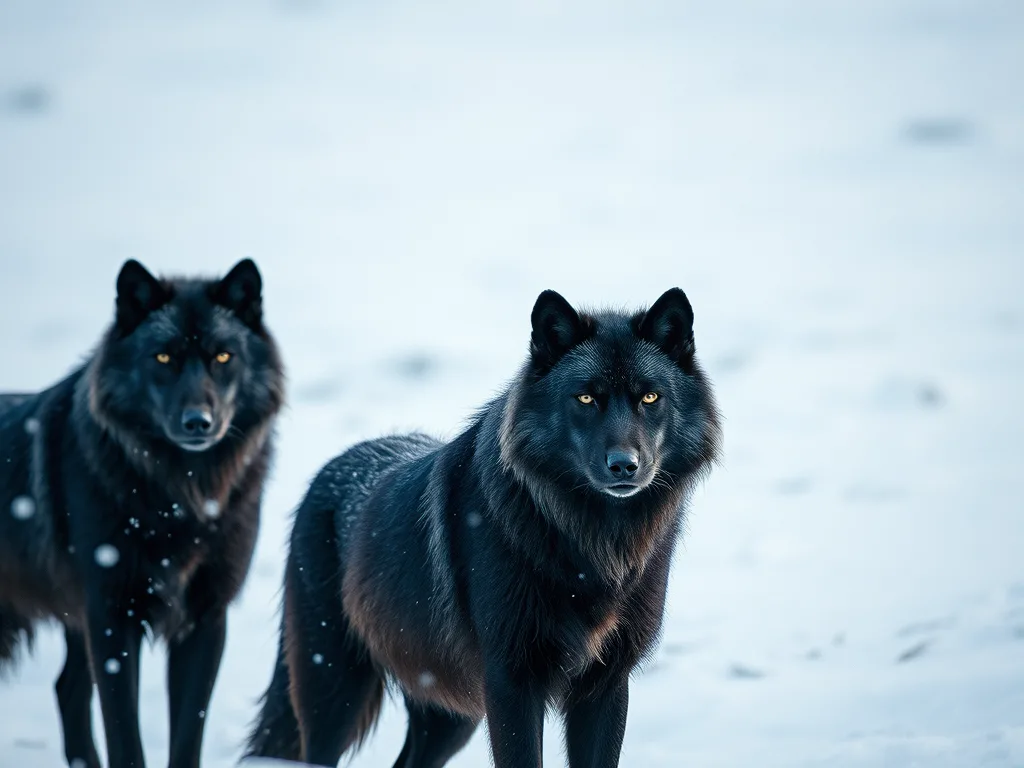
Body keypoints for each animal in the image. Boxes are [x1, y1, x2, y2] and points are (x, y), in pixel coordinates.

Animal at [0, 258, 285, 768]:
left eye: (223, 357)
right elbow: (124, 737)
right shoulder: (112, 617)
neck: (180, 494)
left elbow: (187, 735)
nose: (198, 423)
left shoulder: (205, 618)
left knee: (67, 689)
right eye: (163, 358)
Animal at [245, 287, 721, 768]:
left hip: (448, 714)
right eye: (586, 399)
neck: (591, 540)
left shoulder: (605, 684)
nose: (625, 464)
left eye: (650, 398)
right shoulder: (511, 683)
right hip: (336, 695)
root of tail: (330, 471)